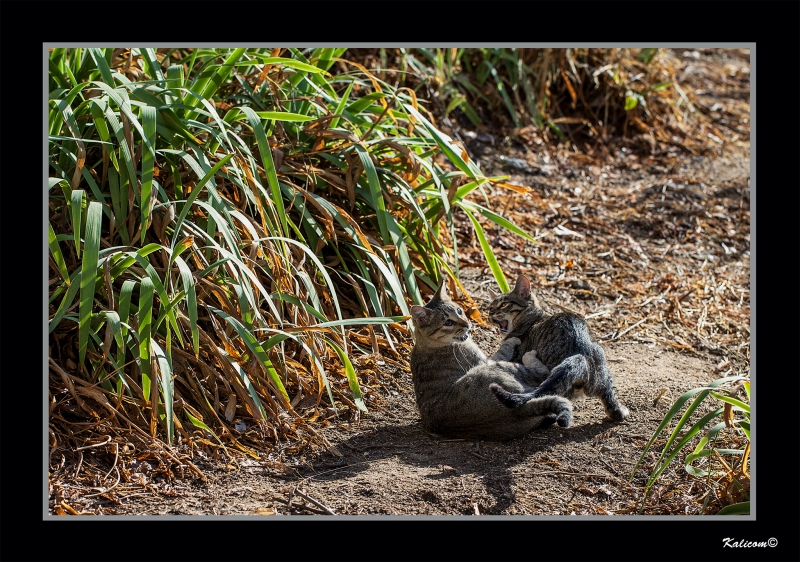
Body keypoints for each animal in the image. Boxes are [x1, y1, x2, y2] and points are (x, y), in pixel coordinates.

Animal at [410, 278, 572, 438]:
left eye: (459, 311)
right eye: (448, 322)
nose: (467, 324)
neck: (429, 344)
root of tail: (516, 410)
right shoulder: (487, 360)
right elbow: (505, 348)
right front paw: (511, 340)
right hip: (495, 368)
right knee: (543, 373)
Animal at [488, 276, 632, 420]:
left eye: (503, 304)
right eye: (490, 306)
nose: (490, 313)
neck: (533, 319)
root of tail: (582, 357)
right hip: (601, 361)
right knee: (612, 404)